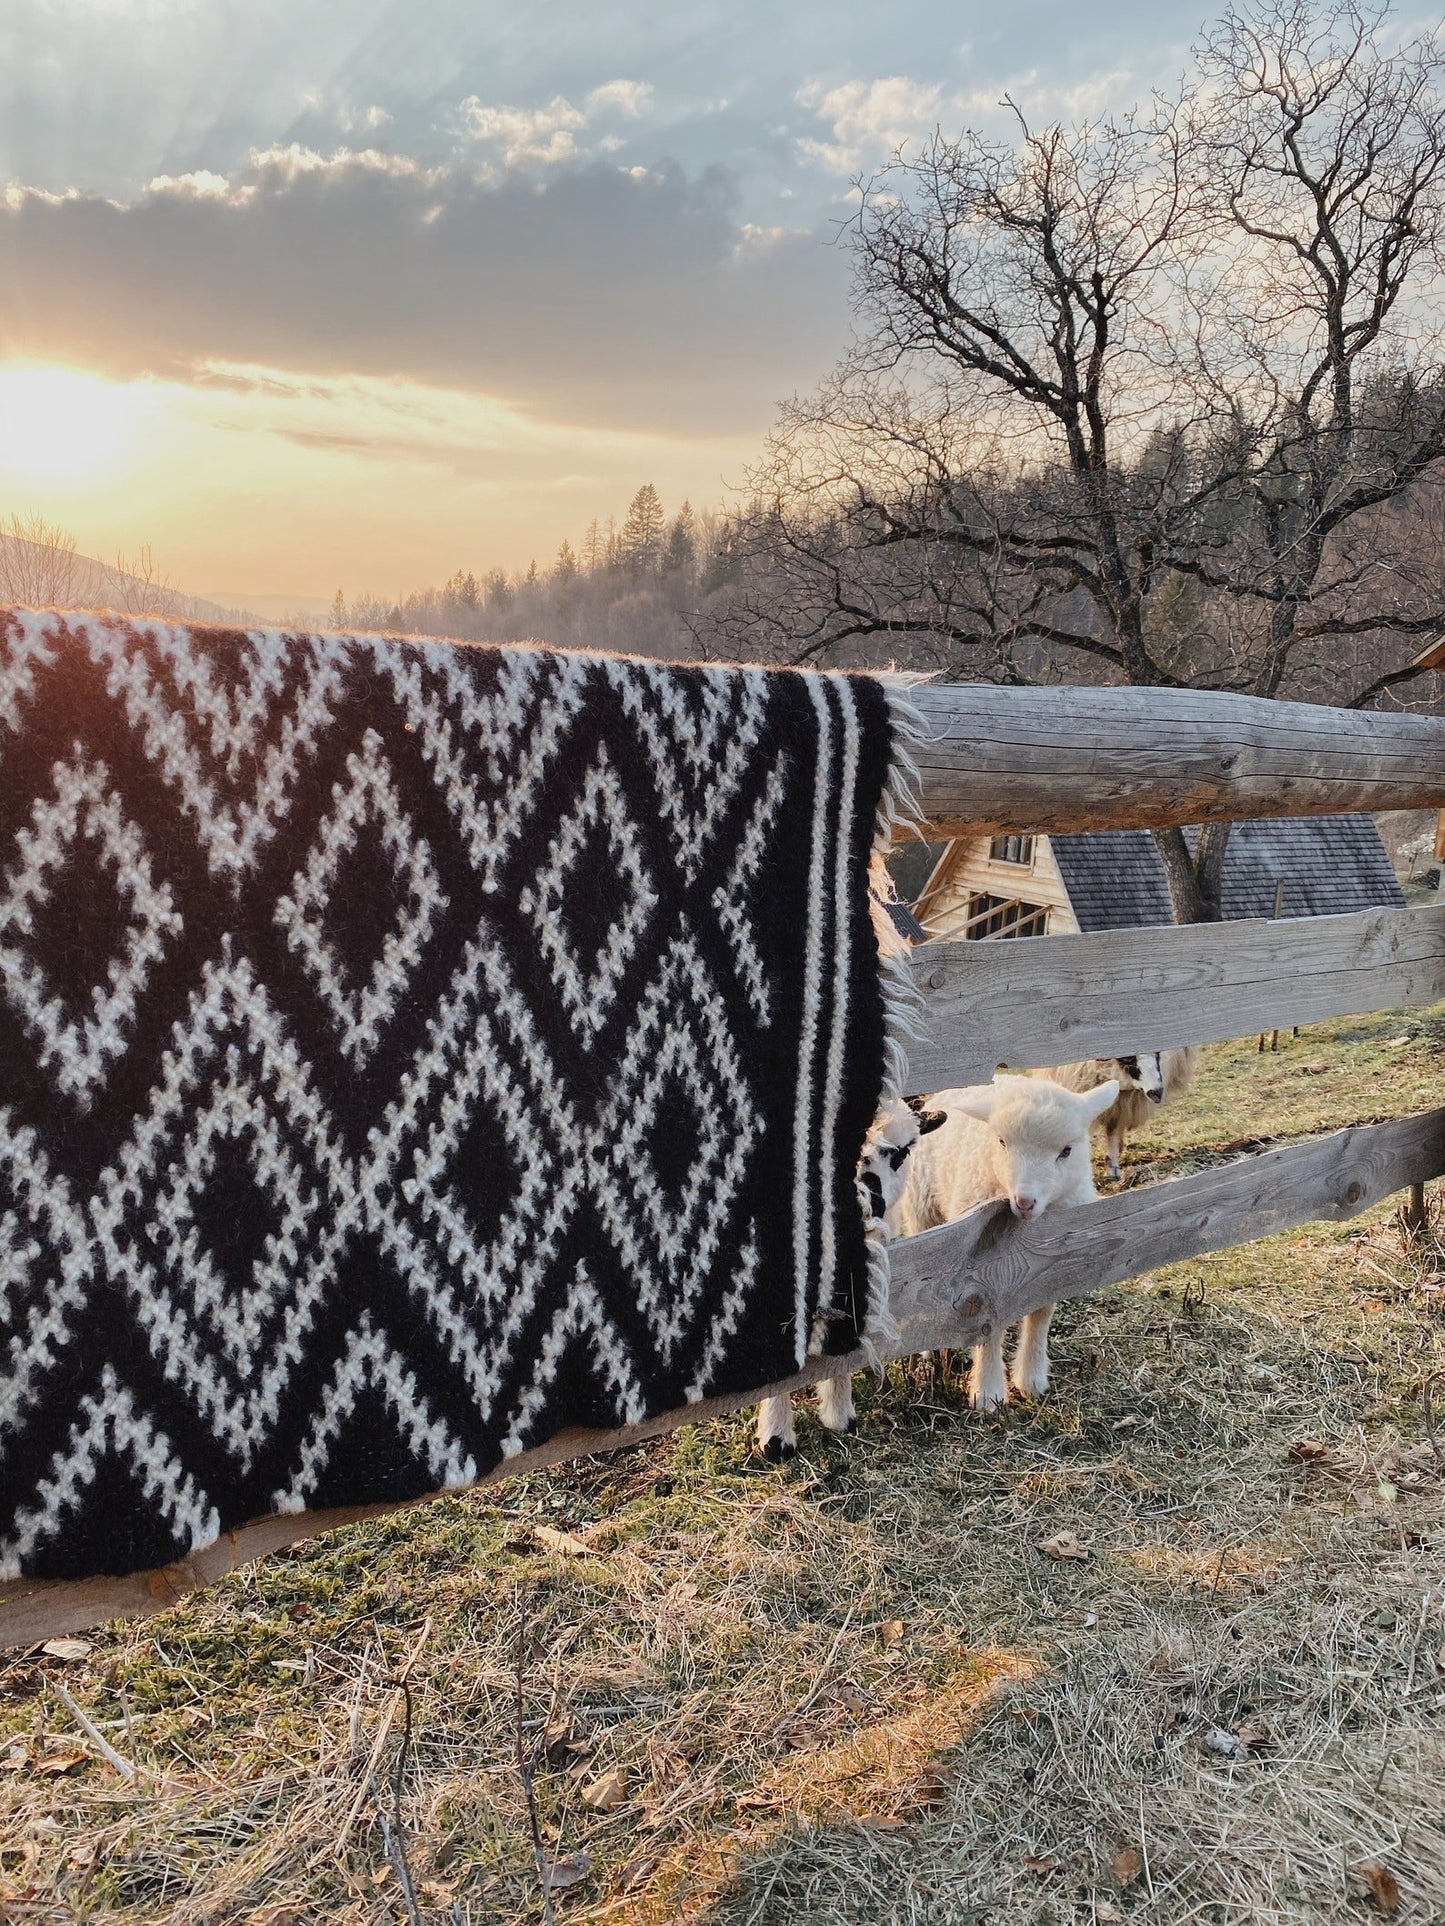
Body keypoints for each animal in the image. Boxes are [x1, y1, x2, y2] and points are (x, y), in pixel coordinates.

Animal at [901, 1078, 1125, 1409]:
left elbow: (1041, 1315)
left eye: (1066, 1151)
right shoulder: (983, 1272)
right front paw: (988, 1394)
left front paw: (1032, 1380)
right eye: (1002, 1142)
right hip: (924, 1214)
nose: (1025, 1202)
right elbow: (989, 1325)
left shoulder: (1055, 1262)